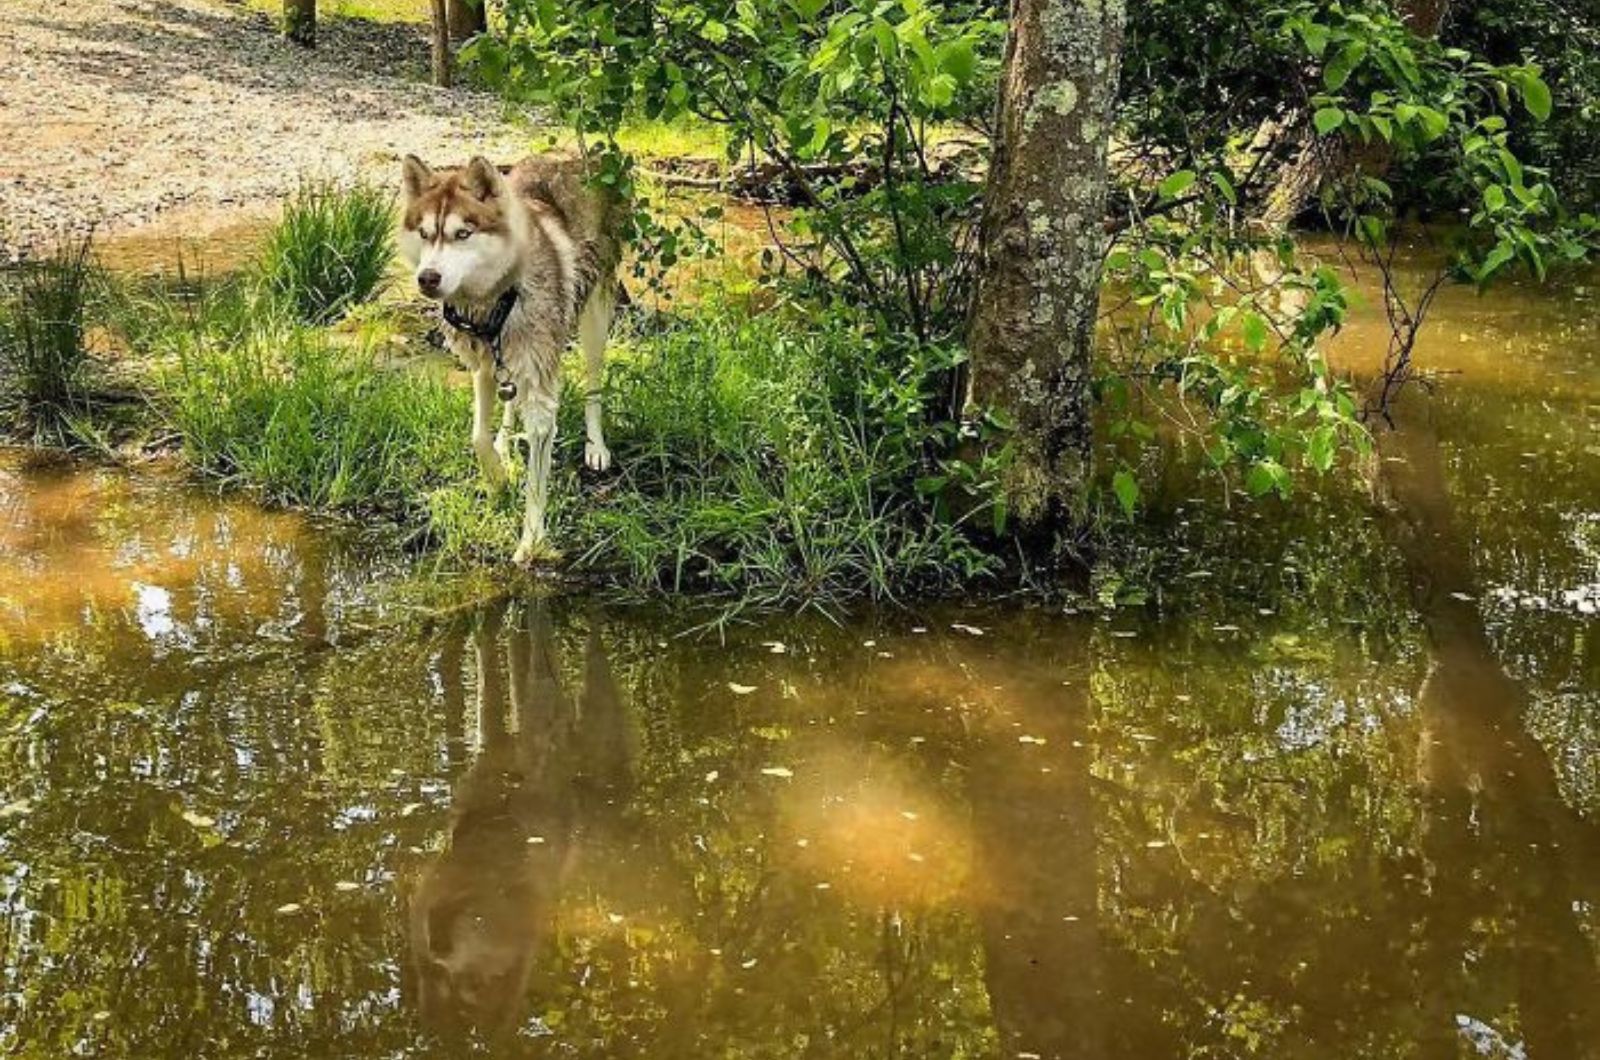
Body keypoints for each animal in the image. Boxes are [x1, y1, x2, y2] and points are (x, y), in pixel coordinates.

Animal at [400, 154, 624, 570]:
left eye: (462, 233)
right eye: (424, 233)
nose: (428, 277)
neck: (496, 299)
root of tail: (579, 156)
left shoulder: (540, 398)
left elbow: (537, 479)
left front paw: (532, 541)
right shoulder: (482, 365)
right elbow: (477, 435)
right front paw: (498, 477)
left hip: (595, 316)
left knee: (593, 385)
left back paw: (595, 446)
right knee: (508, 402)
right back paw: (505, 441)